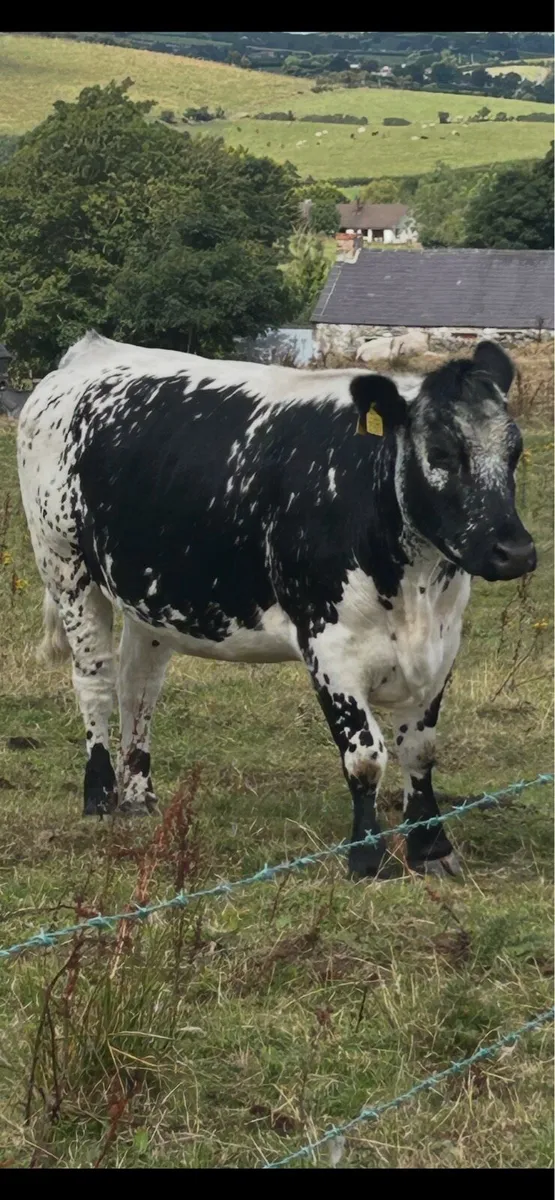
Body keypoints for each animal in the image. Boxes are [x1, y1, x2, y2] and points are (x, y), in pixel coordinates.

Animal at [17, 332, 536, 880]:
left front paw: (430, 847)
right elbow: (366, 756)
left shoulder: (441, 644)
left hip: (148, 595)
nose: (516, 551)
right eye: (440, 452)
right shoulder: (329, 646)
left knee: (139, 686)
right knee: (95, 678)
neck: (414, 589)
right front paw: (366, 856)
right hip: (65, 566)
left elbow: (420, 750)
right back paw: (99, 794)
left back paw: (137, 795)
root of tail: (92, 349)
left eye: (515, 451)